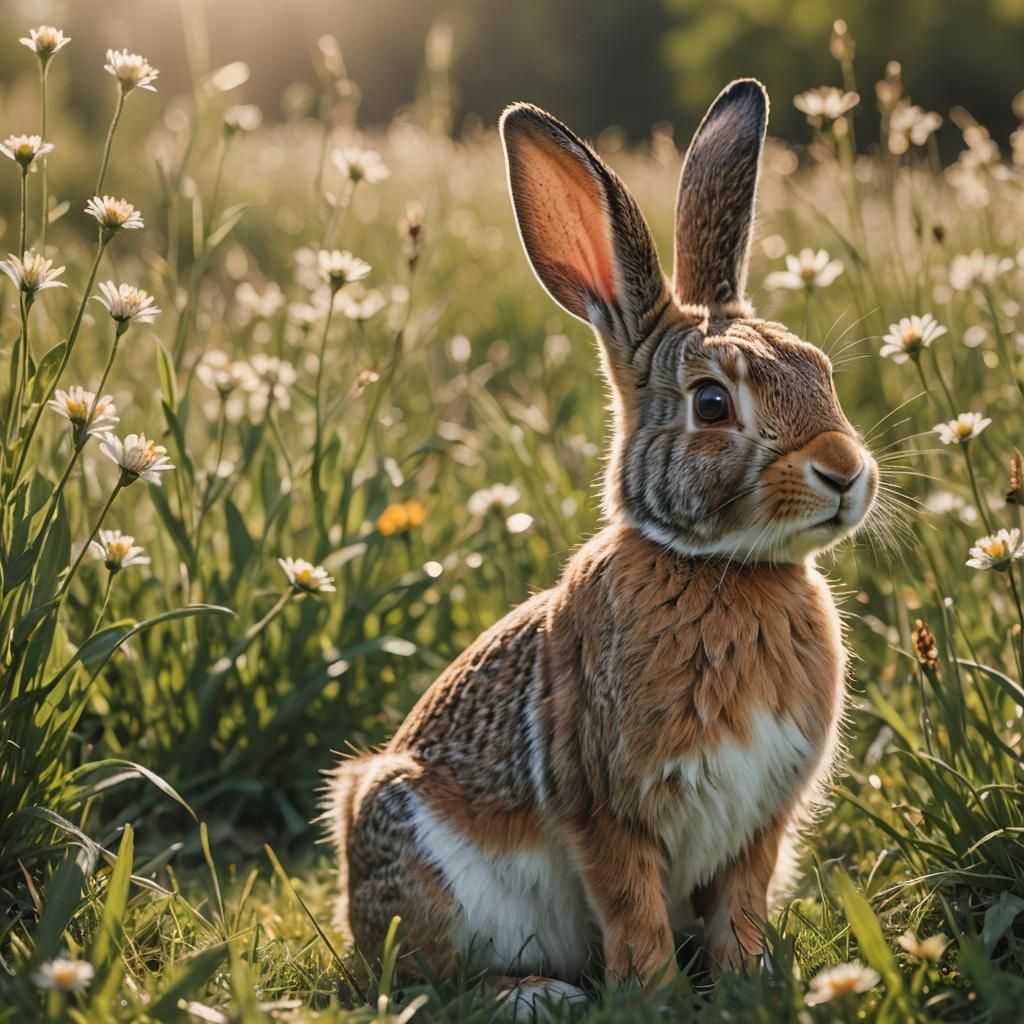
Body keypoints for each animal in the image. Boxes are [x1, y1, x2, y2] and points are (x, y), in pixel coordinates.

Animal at [324, 78, 878, 994]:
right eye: (713, 404)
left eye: (821, 374)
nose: (845, 471)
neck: (723, 568)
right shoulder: (608, 808)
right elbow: (632, 908)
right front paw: (653, 995)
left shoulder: (759, 820)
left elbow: (740, 907)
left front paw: (749, 980)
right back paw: (535, 995)